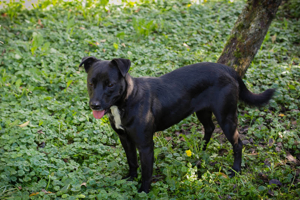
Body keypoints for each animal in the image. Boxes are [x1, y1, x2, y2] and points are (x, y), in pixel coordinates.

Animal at [79, 55, 274, 192]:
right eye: (91, 83)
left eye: (110, 84)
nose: (94, 105)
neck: (126, 101)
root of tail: (227, 69)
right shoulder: (125, 139)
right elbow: (132, 162)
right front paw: (130, 179)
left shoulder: (145, 145)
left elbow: (147, 172)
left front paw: (143, 192)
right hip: (203, 111)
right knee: (209, 128)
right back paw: (200, 152)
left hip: (226, 117)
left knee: (238, 143)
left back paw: (235, 170)